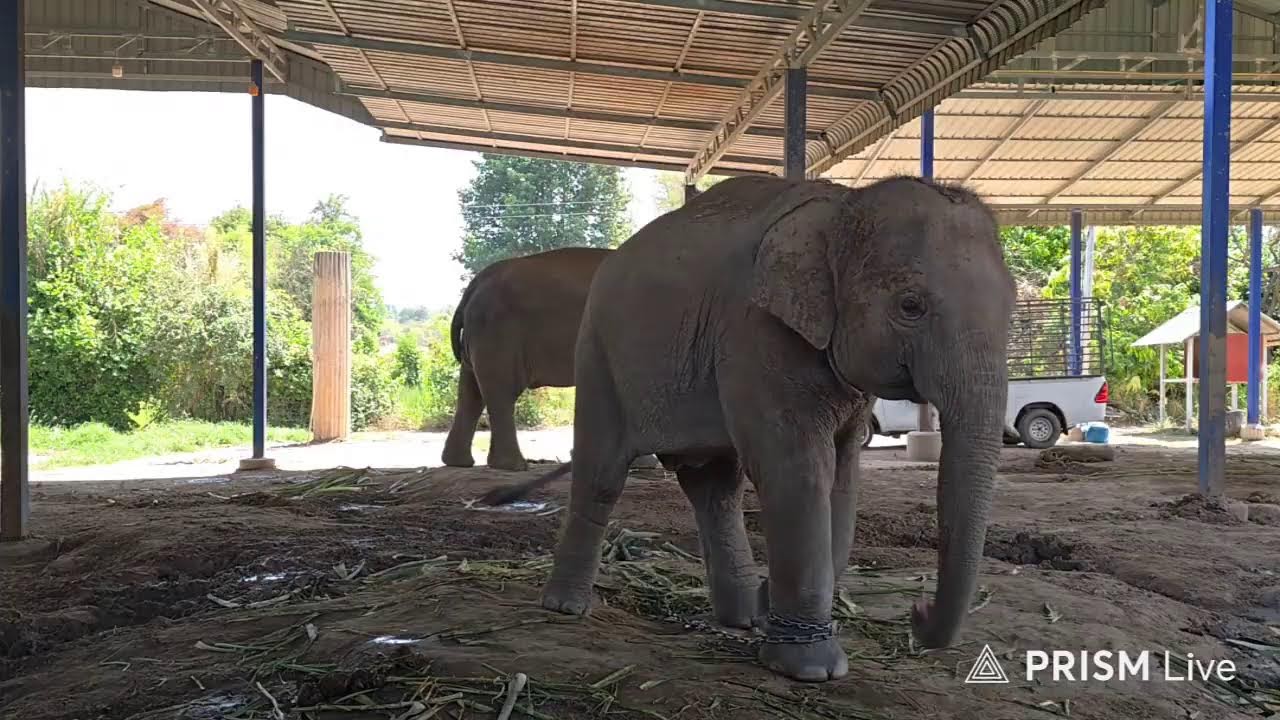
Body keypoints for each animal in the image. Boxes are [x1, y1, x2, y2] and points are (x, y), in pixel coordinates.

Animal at [441, 246, 659, 472]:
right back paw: (513, 466)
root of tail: (475, 284)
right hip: (498, 331)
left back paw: (459, 462)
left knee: (470, 393)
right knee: (500, 392)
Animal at [483, 174, 1015, 683]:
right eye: (910, 306)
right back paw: (566, 607)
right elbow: (798, 470)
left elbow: (843, 475)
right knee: (602, 475)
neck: (843, 204)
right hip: (598, 352)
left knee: (715, 489)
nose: (918, 611)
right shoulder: (755, 333)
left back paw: (740, 618)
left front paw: (772, 618)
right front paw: (811, 670)